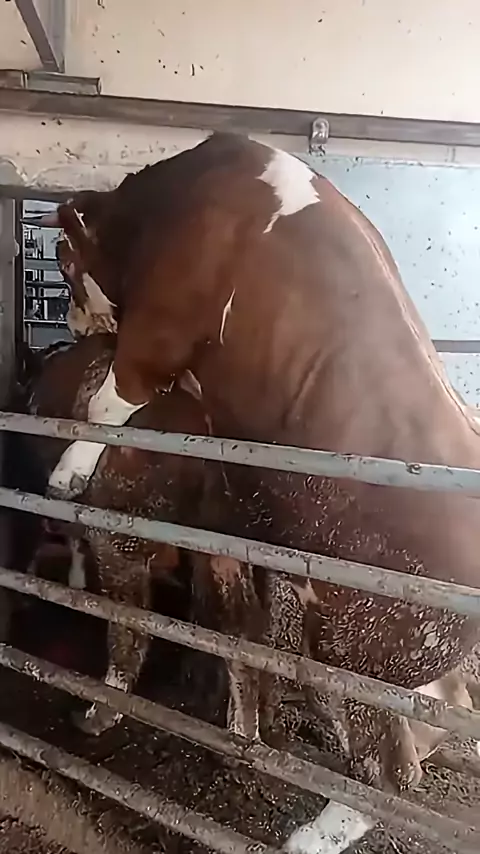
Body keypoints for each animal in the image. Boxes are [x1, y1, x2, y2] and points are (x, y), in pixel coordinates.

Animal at [33, 133, 480, 852]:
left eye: (64, 262)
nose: (71, 323)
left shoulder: (160, 328)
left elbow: (110, 402)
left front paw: (68, 470)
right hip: (404, 649)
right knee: (440, 711)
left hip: (359, 640)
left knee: (392, 768)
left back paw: (309, 836)